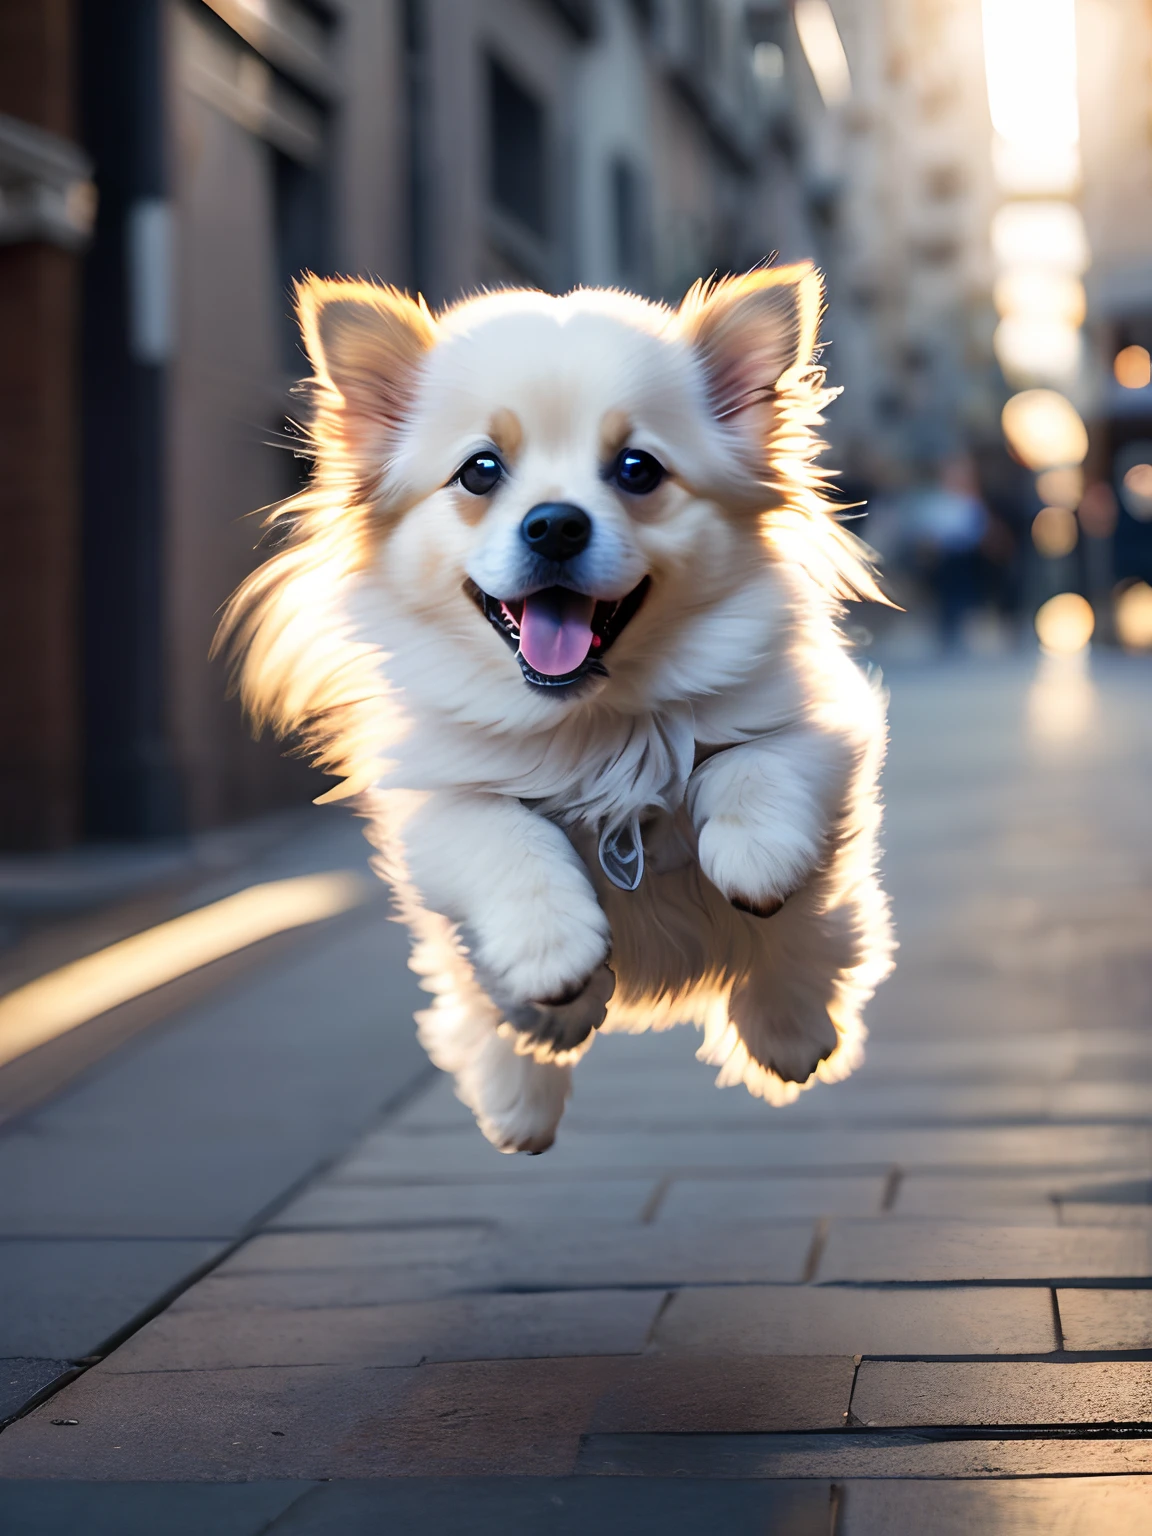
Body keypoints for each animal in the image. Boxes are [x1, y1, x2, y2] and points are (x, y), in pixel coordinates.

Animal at [221, 264, 897, 1155]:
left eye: (638, 468)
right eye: (480, 470)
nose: (554, 524)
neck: (590, 727)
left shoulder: (827, 727)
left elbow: (750, 768)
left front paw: (753, 860)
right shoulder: (433, 804)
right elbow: (510, 840)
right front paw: (553, 956)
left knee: (814, 941)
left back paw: (788, 1033)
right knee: (485, 1004)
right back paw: (526, 1081)